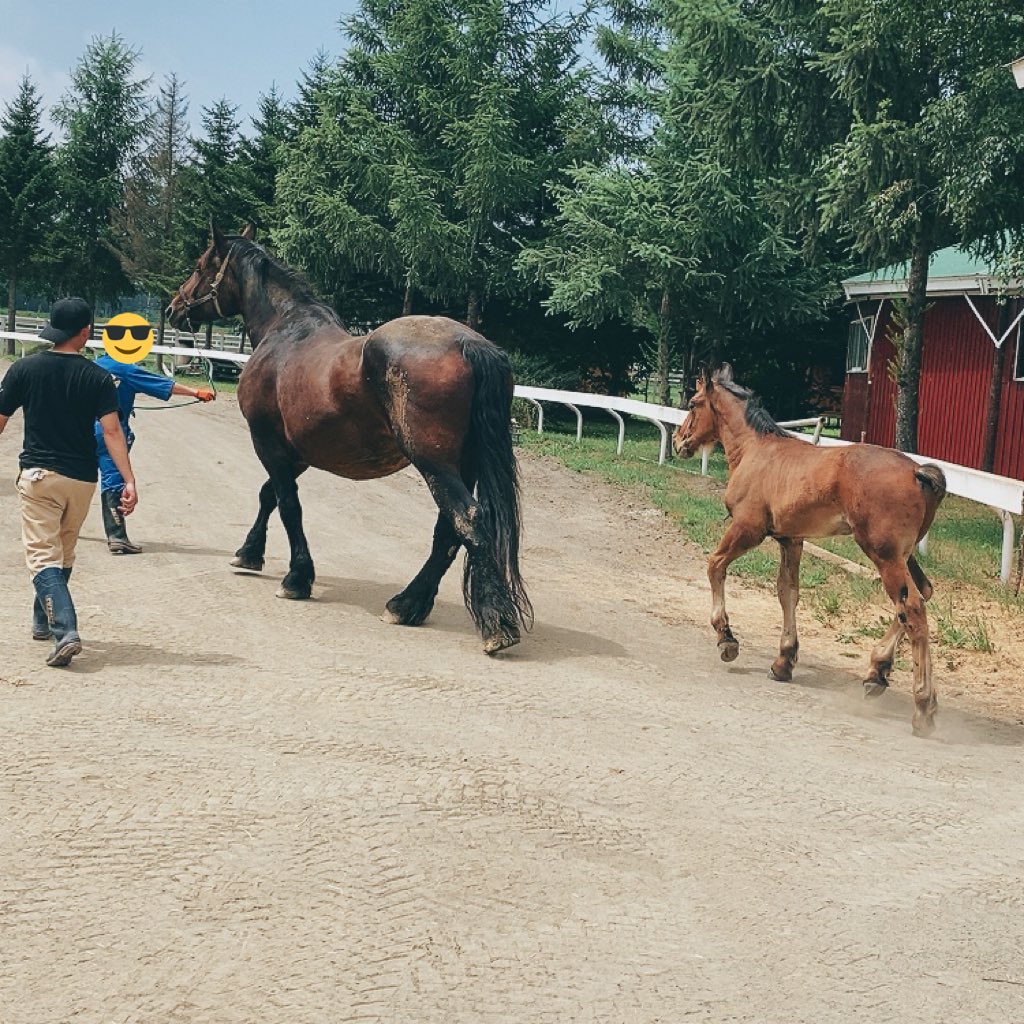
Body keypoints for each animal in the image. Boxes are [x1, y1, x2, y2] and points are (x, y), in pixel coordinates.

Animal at [167, 223, 531, 654]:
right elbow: (268, 495)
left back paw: (494, 626)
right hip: (462, 465)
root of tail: (468, 343)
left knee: (468, 520)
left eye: (200, 265)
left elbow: (288, 506)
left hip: (435, 465)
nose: (173, 308)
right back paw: (408, 605)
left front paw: (296, 579)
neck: (284, 331)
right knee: (448, 531)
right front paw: (249, 553)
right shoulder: (297, 452)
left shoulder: (268, 442)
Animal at [672, 365, 947, 736]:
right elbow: (787, 592)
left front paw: (726, 640)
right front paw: (783, 662)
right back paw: (876, 674)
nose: (678, 441)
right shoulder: (791, 539)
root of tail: (918, 471)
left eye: (693, 402)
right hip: (904, 555)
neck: (755, 451)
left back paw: (923, 707)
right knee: (922, 595)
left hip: (884, 554)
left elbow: (715, 565)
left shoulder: (748, 529)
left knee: (912, 608)